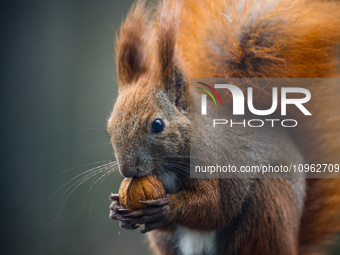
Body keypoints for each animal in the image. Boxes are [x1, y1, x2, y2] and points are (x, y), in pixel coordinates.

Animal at [107, 0, 340, 255]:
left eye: (157, 125)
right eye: (109, 128)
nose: (128, 170)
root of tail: (292, 242)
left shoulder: (214, 162)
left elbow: (213, 207)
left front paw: (168, 207)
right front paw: (117, 209)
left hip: (266, 214)